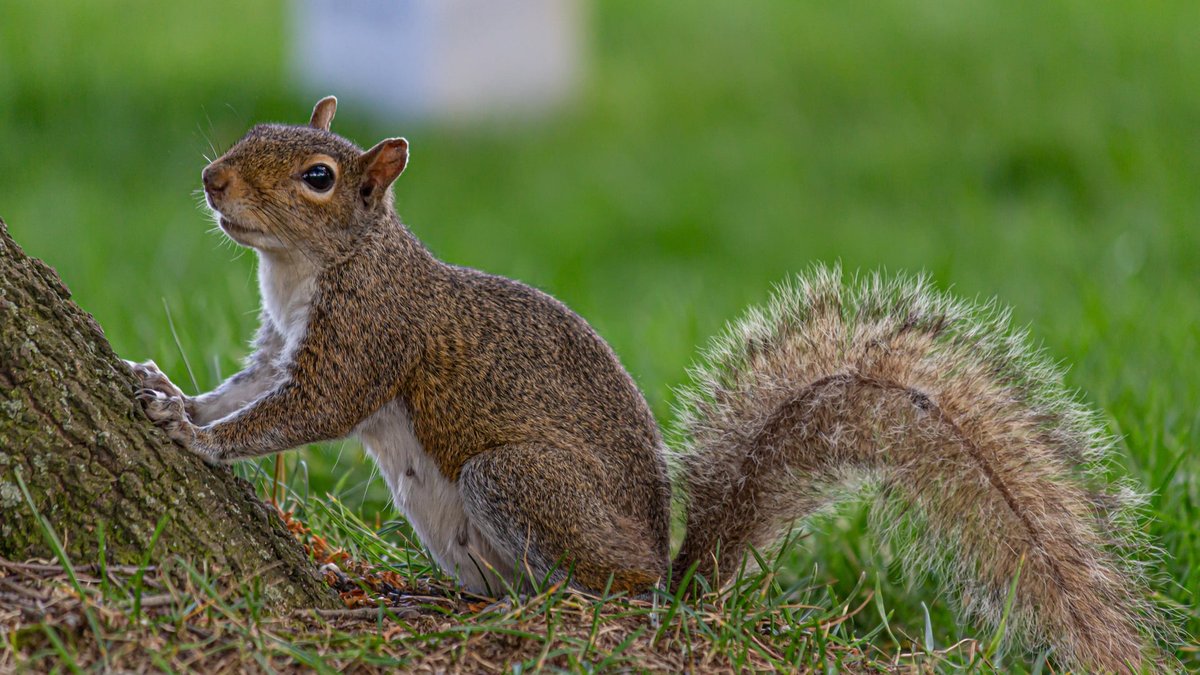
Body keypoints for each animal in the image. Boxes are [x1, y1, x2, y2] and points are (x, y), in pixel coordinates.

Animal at [127, 97, 1172, 672]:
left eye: (316, 175)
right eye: (253, 130)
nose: (214, 181)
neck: (309, 269)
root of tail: (672, 579)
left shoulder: (369, 341)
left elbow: (302, 412)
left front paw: (200, 441)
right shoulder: (277, 343)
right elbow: (245, 385)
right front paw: (166, 392)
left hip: (517, 480)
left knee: (601, 595)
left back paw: (568, 606)